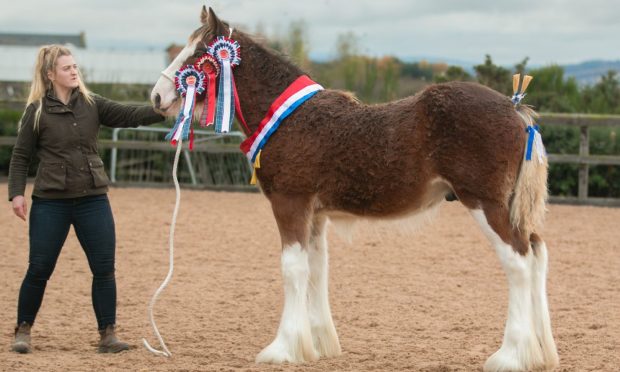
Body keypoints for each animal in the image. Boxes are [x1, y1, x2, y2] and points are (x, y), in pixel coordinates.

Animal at [151, 6, 560, 372]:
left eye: (198, 55)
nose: (157, 96)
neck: (290, 118)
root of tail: (515, 110)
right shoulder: (316, 215)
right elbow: (316, 269)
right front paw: (317, 345)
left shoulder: (290, 203)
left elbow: (292, 269)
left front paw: (282, 349)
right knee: (537, 252)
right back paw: (540, 353)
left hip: (485, 204)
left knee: (519, 261)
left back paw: (510, 356)